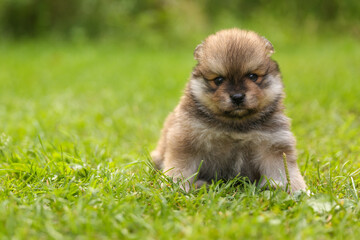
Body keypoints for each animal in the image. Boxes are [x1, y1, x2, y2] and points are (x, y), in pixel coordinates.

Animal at [150, 28, 306, 193]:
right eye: (218, 80)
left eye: (252, 76)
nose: (237, 97)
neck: (236, 124)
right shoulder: (187, 140)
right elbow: (181, 167)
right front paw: (175, 186)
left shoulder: (273, 144)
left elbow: (285, 171)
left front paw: (298, 190)